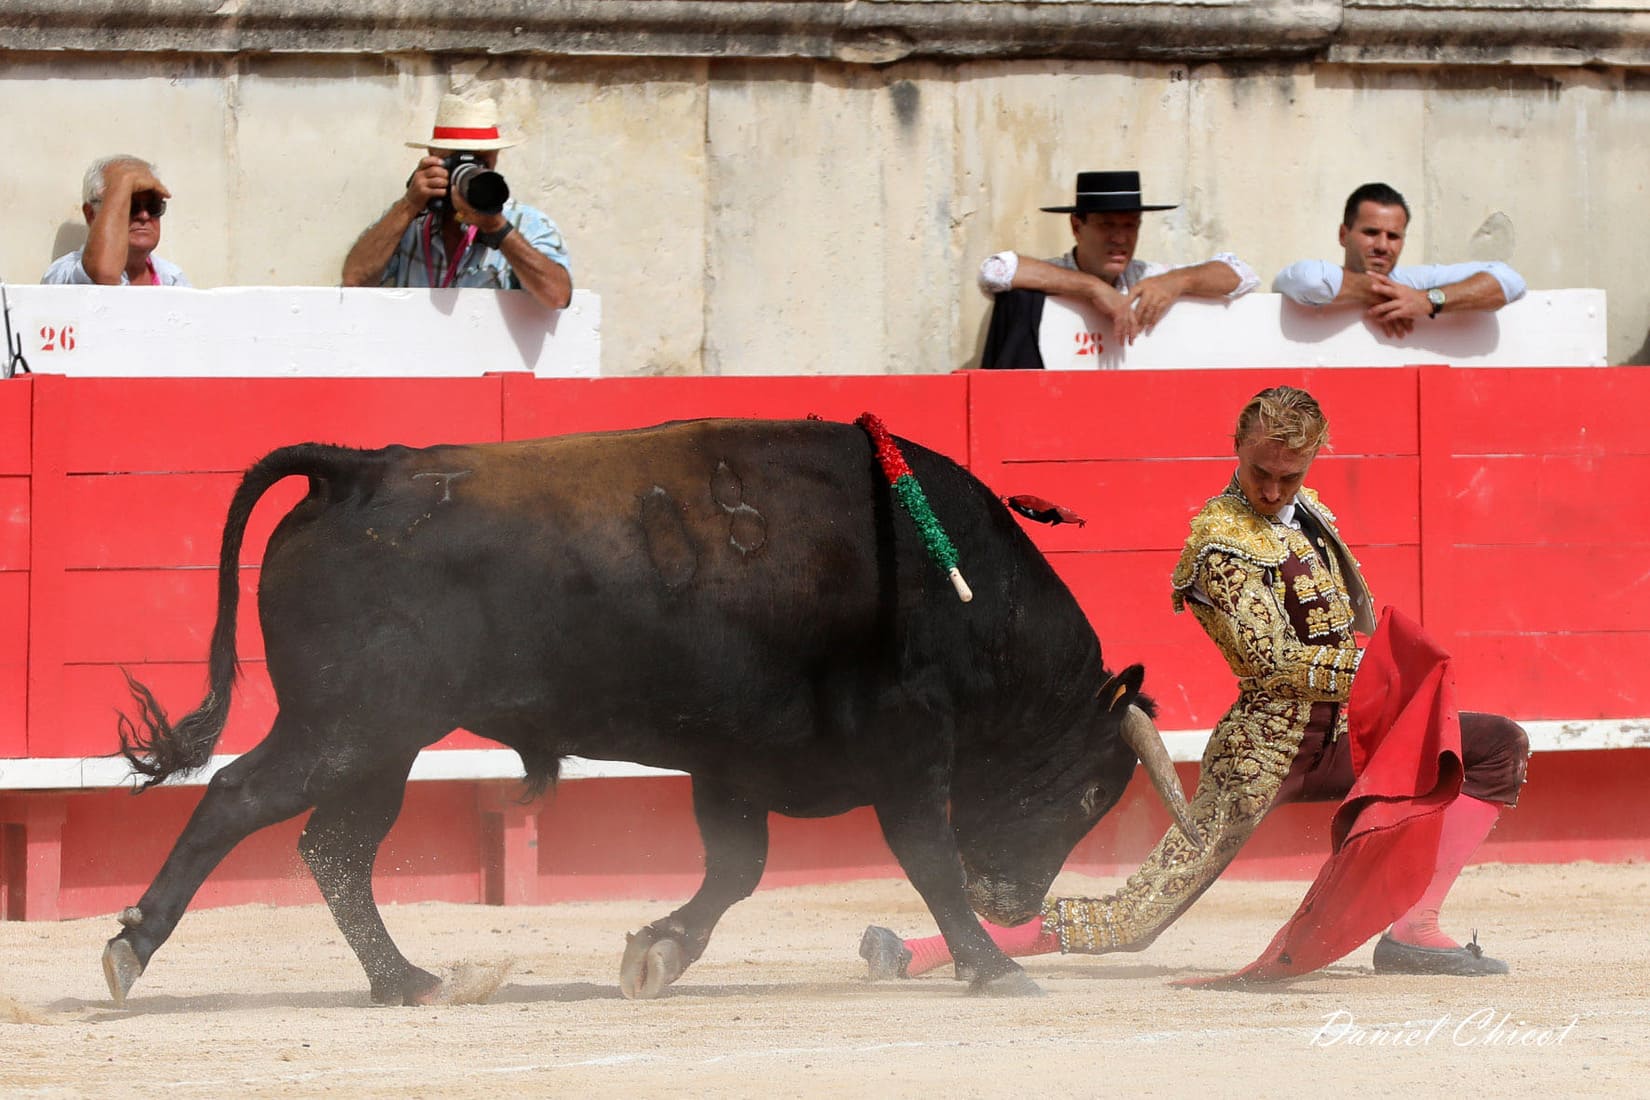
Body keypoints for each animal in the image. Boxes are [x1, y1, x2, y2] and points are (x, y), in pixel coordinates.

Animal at [103, 418, 1188, 1009]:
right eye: (1091, 790)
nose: (1014, 901)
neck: (950, 585)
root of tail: (360, 467)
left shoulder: (736, 761)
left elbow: (736, 869)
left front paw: (655, 952)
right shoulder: (908, 750)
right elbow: (923, 859)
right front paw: (992, 965)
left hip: (384, 745)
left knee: (335, 850)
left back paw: (412, 980)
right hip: (346, 727)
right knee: (238, 799)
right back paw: (131, 947)